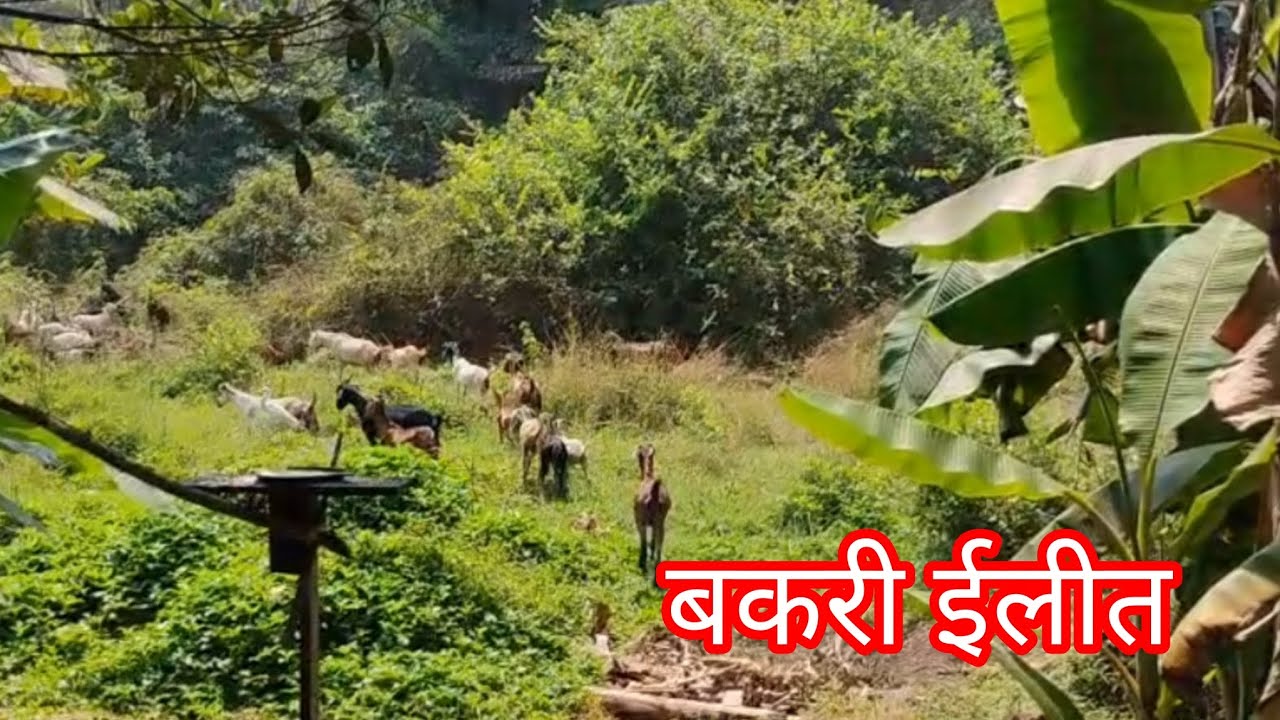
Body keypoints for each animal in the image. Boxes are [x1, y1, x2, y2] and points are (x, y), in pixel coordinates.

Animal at [633, 443, 671, 579]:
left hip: (641, 519)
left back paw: (642, 564)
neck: (648, 475)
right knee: (659, 543)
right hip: (660, 522)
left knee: (643, 542)